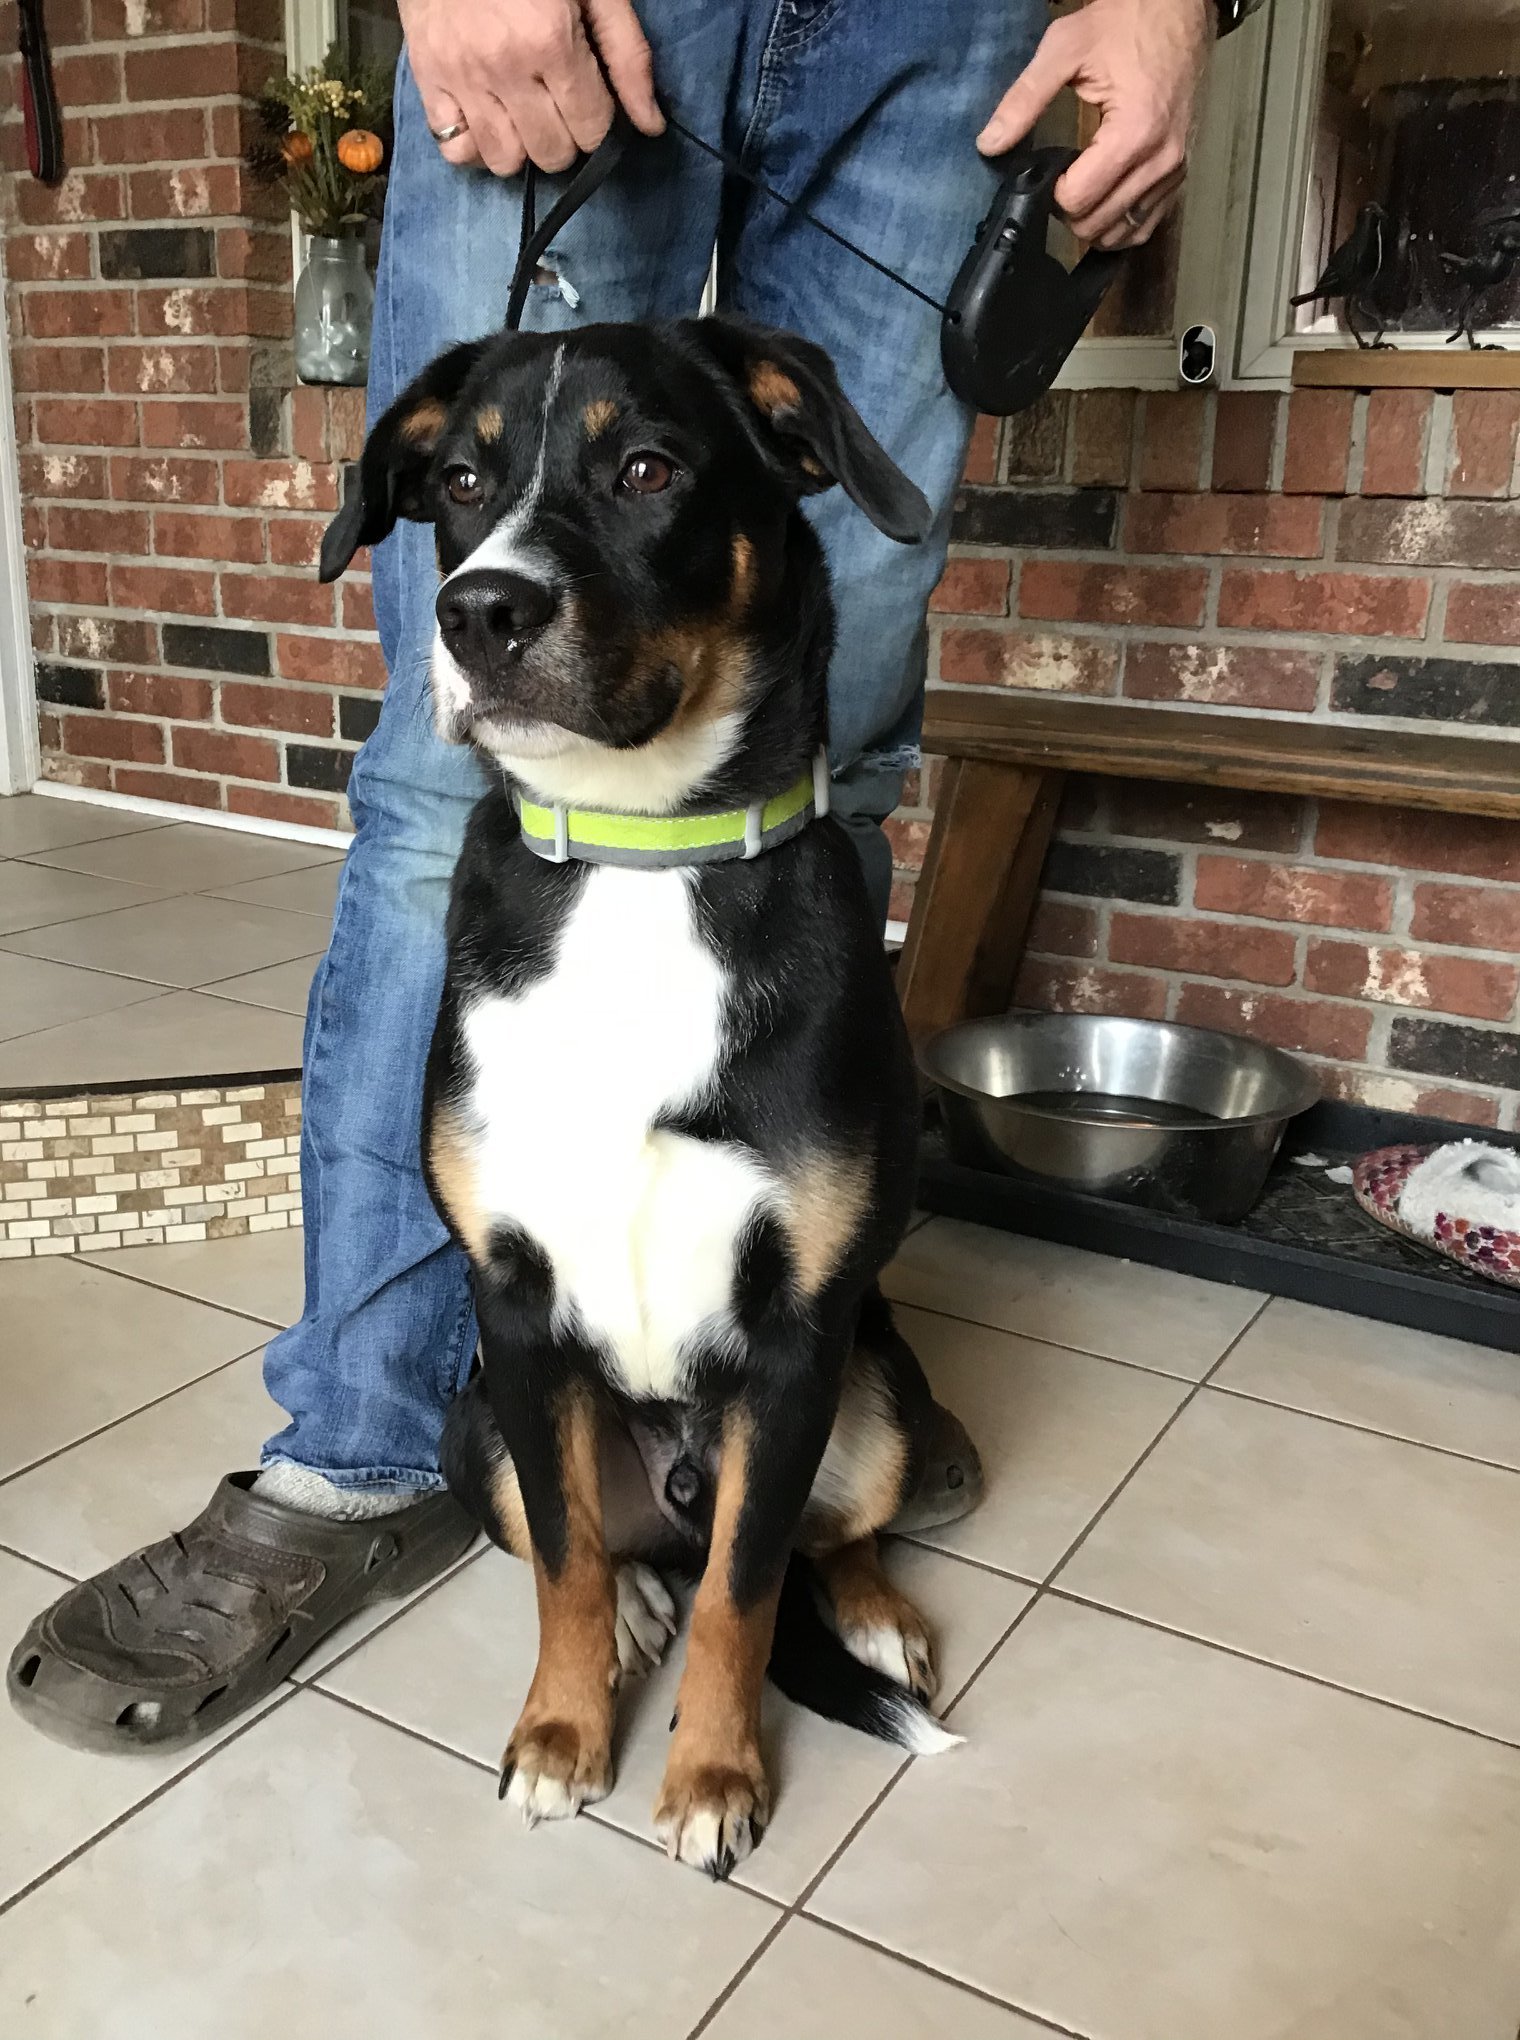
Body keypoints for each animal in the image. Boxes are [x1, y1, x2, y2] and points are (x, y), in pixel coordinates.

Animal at [320, 310, 983, 1868]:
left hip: (879, 1390)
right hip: (471, 1426)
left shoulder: (797, 1338)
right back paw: (636, 1602)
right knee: (595, 1538)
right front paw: (563, 1732)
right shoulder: (513, 1308)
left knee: (812, 1536)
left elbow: (745, 1592)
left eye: (646, 469)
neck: (638, 861)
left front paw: (714, 1778)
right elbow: (562, 1558)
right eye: (457, 480)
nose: (482, 613)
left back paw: (872, 1615)